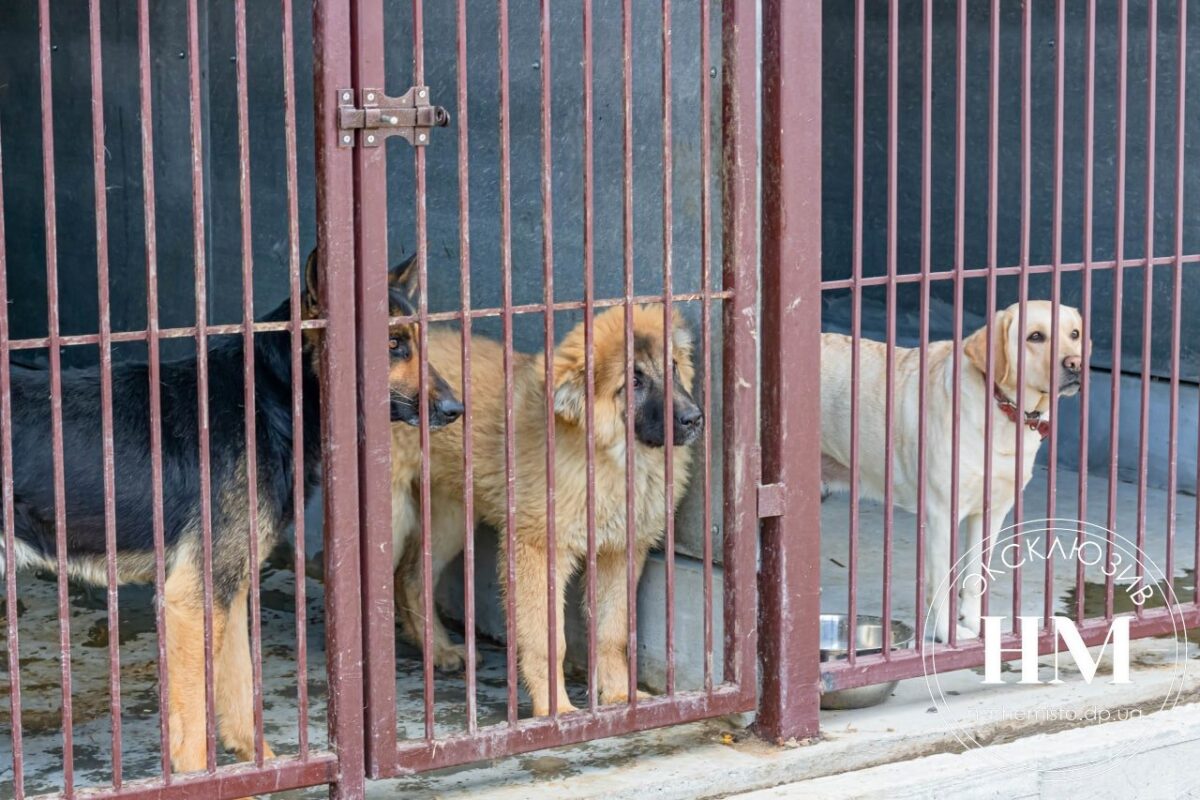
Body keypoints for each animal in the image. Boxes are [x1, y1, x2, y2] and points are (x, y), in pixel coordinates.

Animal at [393, 304, 700, 714]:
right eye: (633, 381)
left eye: (673, 368)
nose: (694, 418)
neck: (610, 456)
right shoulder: (537, 552)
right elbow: (547, 641)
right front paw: (557, 712)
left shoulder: (619, 551)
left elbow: (612, 632)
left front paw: (620, 697)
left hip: (452, 515)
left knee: (412, 576)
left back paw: (440, 651)